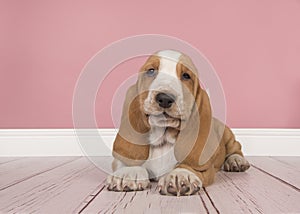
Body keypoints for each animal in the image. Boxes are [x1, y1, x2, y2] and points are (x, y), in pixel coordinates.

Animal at [106, 49, 250, 196]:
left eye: (186, 76)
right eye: (151, 71)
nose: (164, 98)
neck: (163, 141)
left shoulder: (206, 169)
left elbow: (189, 165)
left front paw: (179, 174)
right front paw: (129, 172)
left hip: (226, 132)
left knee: (236, 147)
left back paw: (236, 161)